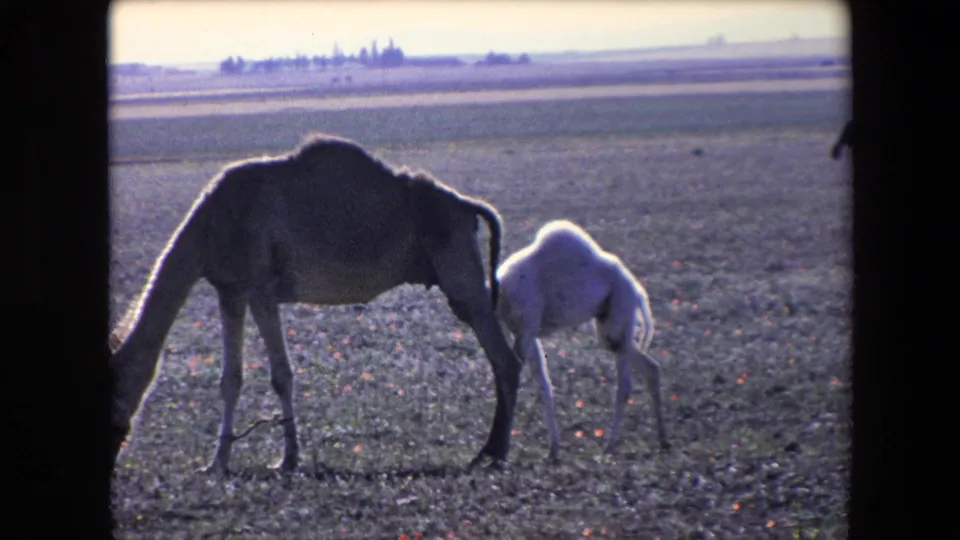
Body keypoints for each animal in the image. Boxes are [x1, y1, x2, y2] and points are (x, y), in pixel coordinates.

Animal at [108, 133, 523, 474]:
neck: (210, 225)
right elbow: (231, 378)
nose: (114, 448)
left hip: (457, 266)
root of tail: (469, 206)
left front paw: (288, 459)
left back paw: (494, 453)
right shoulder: (229, 290)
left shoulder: (260, 287)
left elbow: (281, 374)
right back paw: (489, 450)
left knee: (504, 358)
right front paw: (217, 462)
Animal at [495, 220, 669, 460]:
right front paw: (553, 450)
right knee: (651, 368)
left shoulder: (526, 330)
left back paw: (609, 447)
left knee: (625, 385)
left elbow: (515, 379)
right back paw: (663, 441)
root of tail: (637, 291)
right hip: (609, 328)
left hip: (619, 317)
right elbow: (544, 386)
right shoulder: (524, 332)